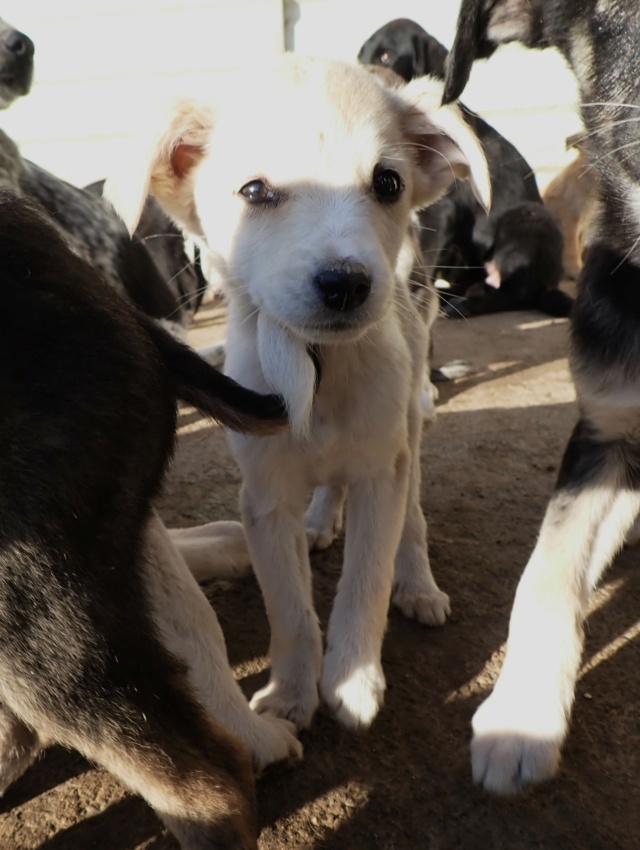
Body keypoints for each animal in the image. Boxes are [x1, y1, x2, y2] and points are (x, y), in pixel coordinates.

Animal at [109, 54, 490, 728]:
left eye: (387, 183)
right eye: (255, 191)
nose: (346, 284)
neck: (320, 371)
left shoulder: (381, 472)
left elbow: (366, 579)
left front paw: (353, 681)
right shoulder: (263, 497)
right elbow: (287, 607)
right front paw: (289, 693)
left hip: (408, 426)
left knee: (413, 518)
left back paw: (417, 583)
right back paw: (321, 521)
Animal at [358, 19, 572, 318]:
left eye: (386, 56)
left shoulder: (441, 212)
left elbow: (421, 263)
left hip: (527, 220)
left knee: (517, 293)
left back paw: (466, 304)